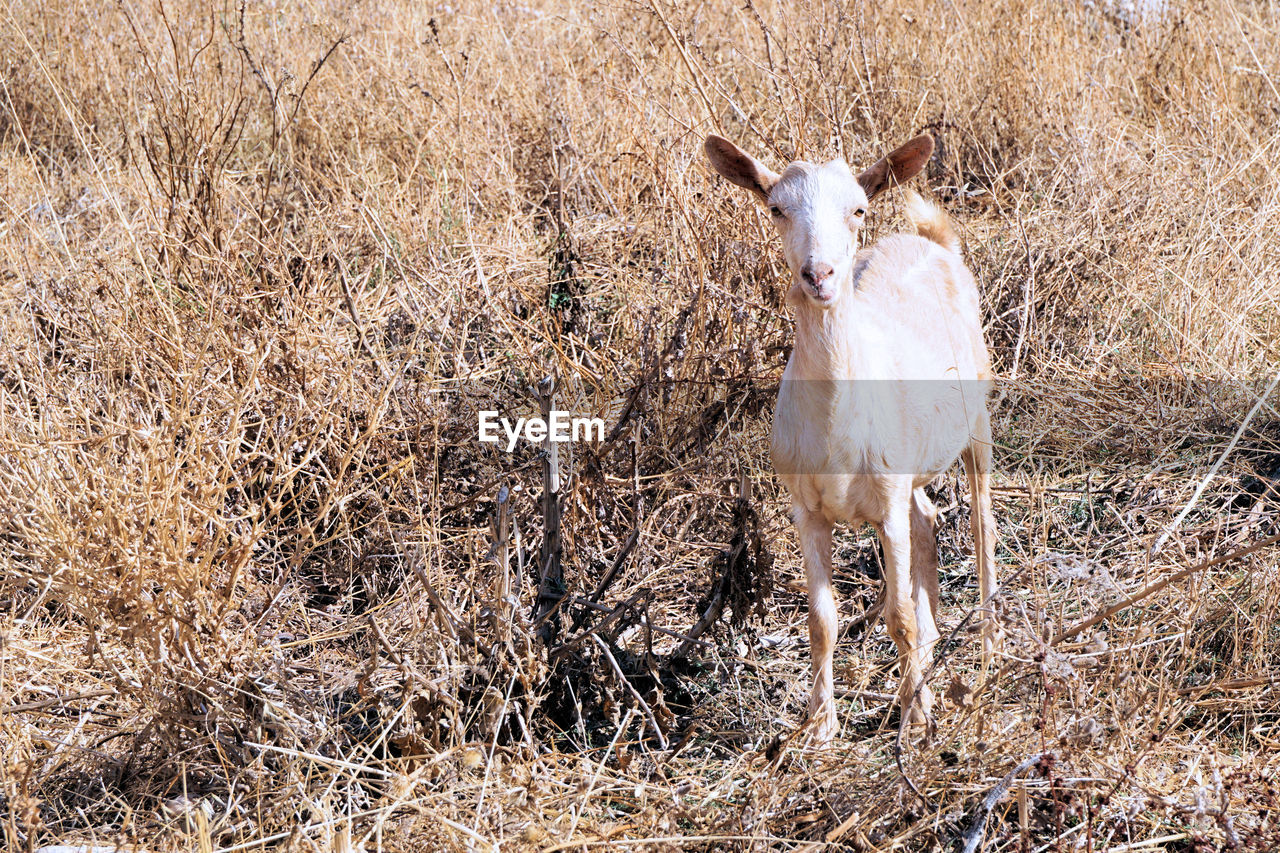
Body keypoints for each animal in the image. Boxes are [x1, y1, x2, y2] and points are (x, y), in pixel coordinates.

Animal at [706, 131, 993, 737]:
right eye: (776, 208)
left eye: (858, 209)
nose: (819, 275)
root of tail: (934, 242)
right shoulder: (806, 509)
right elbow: (822, 620)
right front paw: (819, 725)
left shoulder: (885, 507)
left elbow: (897, 616)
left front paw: (915, 721)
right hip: (909, 469)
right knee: (928, 517)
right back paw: (934, 649)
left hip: (978, 416)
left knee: (983, 525)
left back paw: (989, 657)